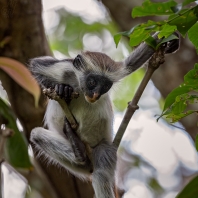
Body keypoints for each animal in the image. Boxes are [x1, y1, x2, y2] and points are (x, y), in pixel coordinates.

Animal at [29, 35, 179, 198]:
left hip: (104, 148)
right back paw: (80, 152)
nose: (95, 94)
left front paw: (168, 40)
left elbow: (130, 64)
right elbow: (35, 65)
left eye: (106, 86)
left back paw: (79, 150)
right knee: (36, 134)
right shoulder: (65, 68)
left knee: (100, 174)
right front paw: (62, 89)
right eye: (92, 82)